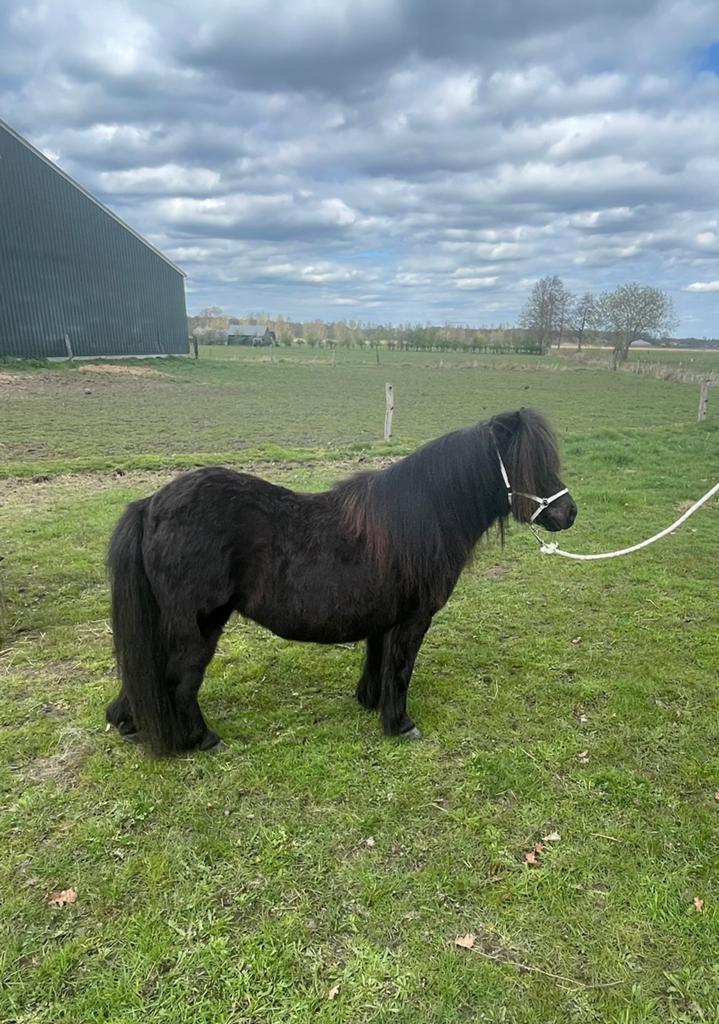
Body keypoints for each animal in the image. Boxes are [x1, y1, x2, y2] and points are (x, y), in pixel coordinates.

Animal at [106, 408, 576, 756]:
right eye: (528, 465)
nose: (569, 512)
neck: (421, 518)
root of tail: (150, 505)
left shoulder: (385, 620)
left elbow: (378, 660)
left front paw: (371, 703)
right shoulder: (414, 619)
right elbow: (401, 668)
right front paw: (400, 724)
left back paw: (128, 722)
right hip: (199, 626)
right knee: (178, 680)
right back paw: (204, 739)